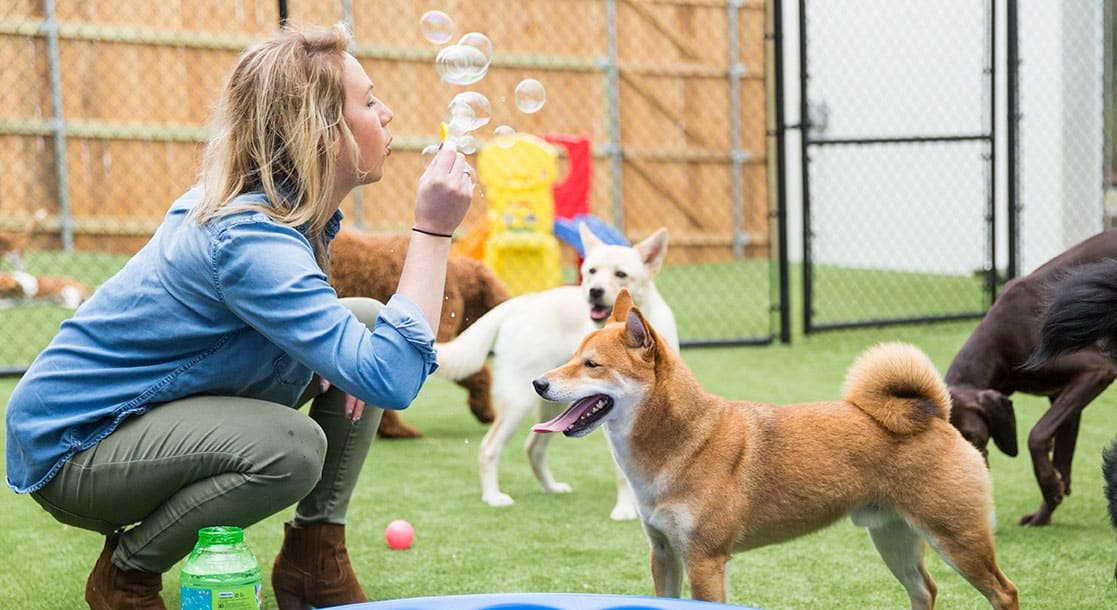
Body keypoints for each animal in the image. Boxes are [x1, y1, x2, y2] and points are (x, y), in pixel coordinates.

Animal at [435, 223, 679, 518]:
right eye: (591, 271)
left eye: (621, 274)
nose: (594, 291)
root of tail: (526, 300)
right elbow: (624, 474)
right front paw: (624, 510)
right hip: (520, 401)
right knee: (489, 448)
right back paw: (493, 497)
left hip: (556, 403)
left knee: (533, 449)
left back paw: (550, 488)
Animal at [531, 290, 1023, 607]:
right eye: (572, 357)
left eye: (592, 365)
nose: (539, 382)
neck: (682, 442)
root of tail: (935, 413)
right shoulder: (664, 553)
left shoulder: (706, 561)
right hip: (893, 537)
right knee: (925, 590)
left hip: (958, 539)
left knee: (1005, 591)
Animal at [947, 227, 1117, 522]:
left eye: (974, 437)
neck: (998, 344)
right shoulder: (1063, 394)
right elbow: (1062, 459)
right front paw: (1044, 513)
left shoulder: (1097, 370)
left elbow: (1036, 434)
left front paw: (1049, 487)